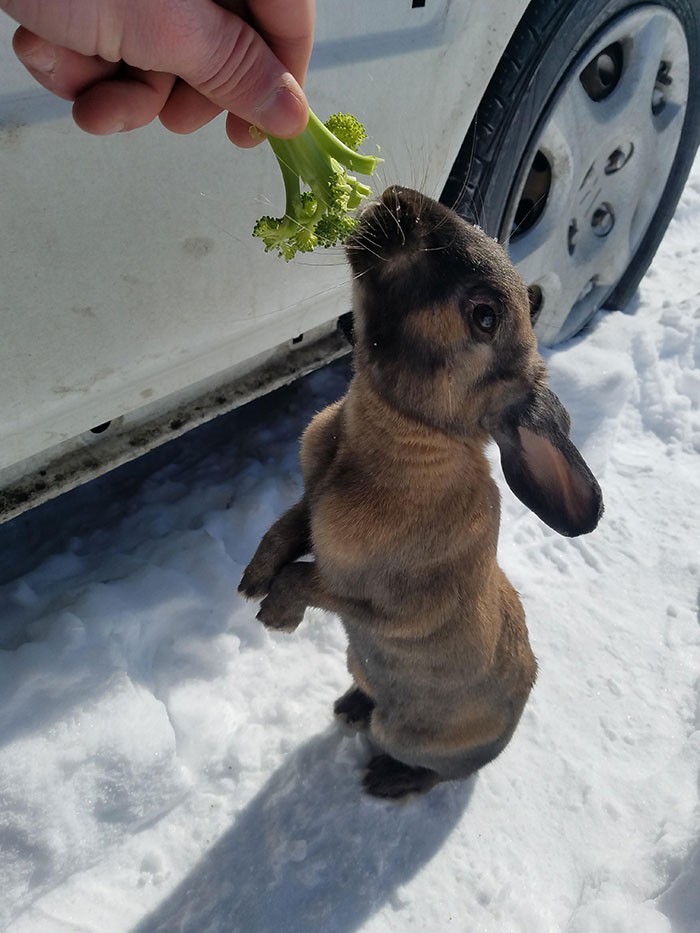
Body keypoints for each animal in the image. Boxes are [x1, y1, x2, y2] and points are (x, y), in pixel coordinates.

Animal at [239, 186, 600, 796]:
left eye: (485, 316)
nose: (398, 198)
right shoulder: (309, 503)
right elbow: (284, 531)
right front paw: (250, 584)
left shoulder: (384, 606)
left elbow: (306, 579)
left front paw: (275, 617)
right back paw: (350, 708)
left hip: (410, 737)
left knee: (431, 774)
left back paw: (385, 778)